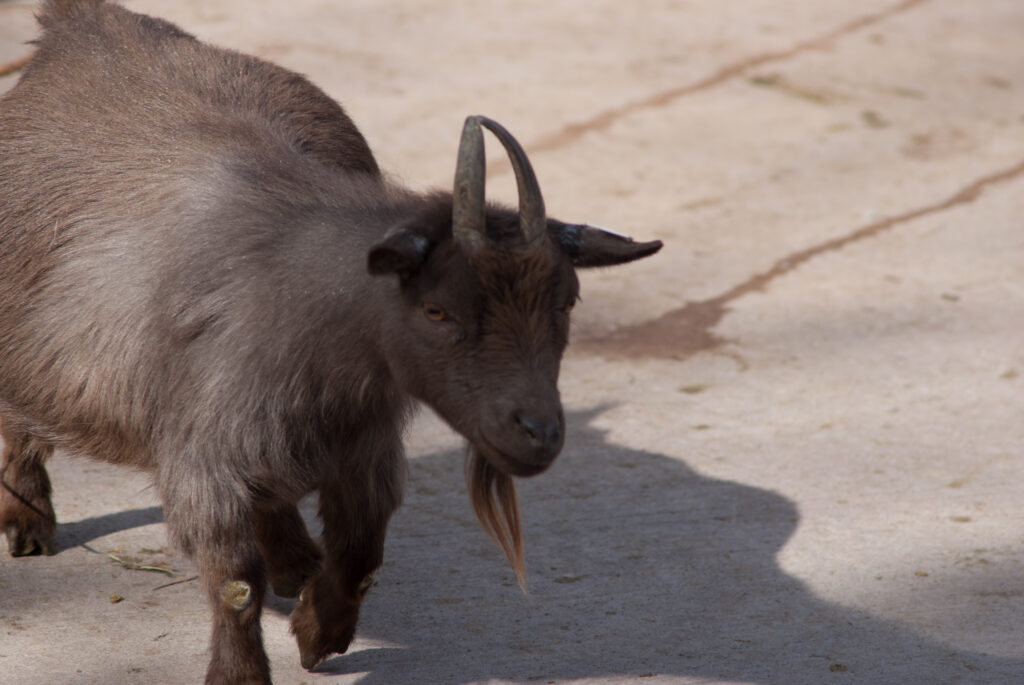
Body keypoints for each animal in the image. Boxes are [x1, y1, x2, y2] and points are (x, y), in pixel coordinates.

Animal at [0, 1, 662, 682]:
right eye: (436, 309)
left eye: (568, 301)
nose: (539, 433)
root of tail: (84, 24)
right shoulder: (202, 458)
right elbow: (235, 582)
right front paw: (242, 671)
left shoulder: (362, 445)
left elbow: (361, 550)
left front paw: (320, 632)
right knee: (19, 420)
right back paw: (28, 521)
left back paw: (295, 559)